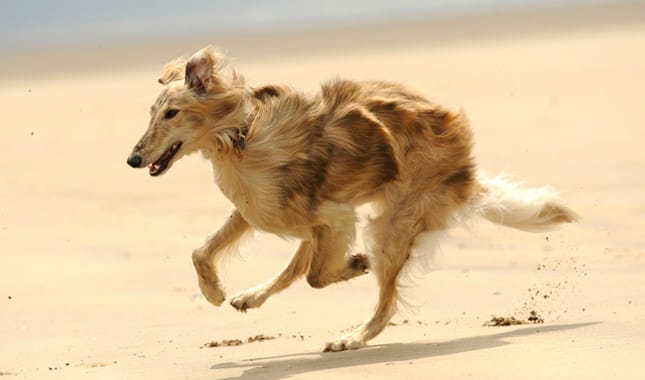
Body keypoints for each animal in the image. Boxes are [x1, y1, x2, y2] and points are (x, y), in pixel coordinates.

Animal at [126, 47, 580, 354]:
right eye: (152, 113)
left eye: (171, 113)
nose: (132, 159)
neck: (240, 138)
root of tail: (466, 169)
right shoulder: (262, 211)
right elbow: (202, 252)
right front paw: (214, 292)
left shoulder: (335, 215)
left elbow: (317, 275)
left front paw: (356, 264)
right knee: (299, 269)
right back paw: (251, 296)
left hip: (389, 224)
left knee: (383, 301)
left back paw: (353, 336)